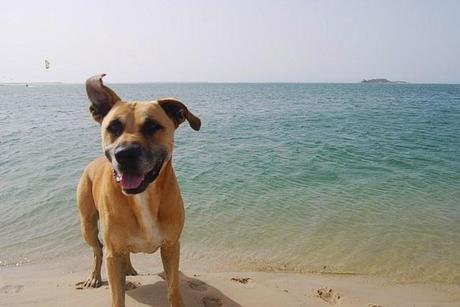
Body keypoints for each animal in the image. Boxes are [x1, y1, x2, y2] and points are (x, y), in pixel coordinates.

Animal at [76, 75, 200, 307]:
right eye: (113, 127)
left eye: (152, 126)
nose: (125, 154)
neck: (143, 197)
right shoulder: (113, 253)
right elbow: (117, 297)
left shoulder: (171, 246)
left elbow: (173, 288)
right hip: (87, 225)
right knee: (97, 250)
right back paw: (95, 277)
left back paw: (128, 268)